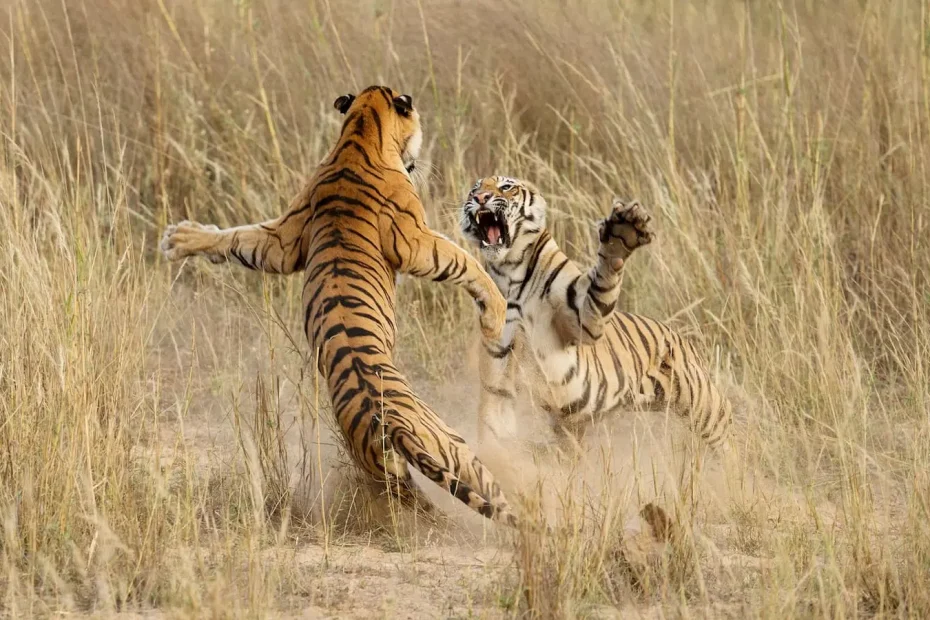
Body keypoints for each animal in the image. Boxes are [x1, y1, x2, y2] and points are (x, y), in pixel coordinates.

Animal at [160, 86, 519, 526]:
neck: (359, 131)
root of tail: (390, 427)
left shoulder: (283, 240)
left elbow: (239, 238)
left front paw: (181, 238)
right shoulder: (415, 242)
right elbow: (464, 261)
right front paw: (496, 312)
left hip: (392, 471)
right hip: (453, 446)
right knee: (492, 493)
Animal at [459, 176, 732, 450]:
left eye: (506, 187)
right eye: (475, 189)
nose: (480, 198)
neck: (510, 269)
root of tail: (684, 340)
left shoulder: (583, 318)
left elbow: (603, 278)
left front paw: (621, 233)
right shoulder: (500, 363)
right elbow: (496, 421)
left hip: (703, 405)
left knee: (729, 431)